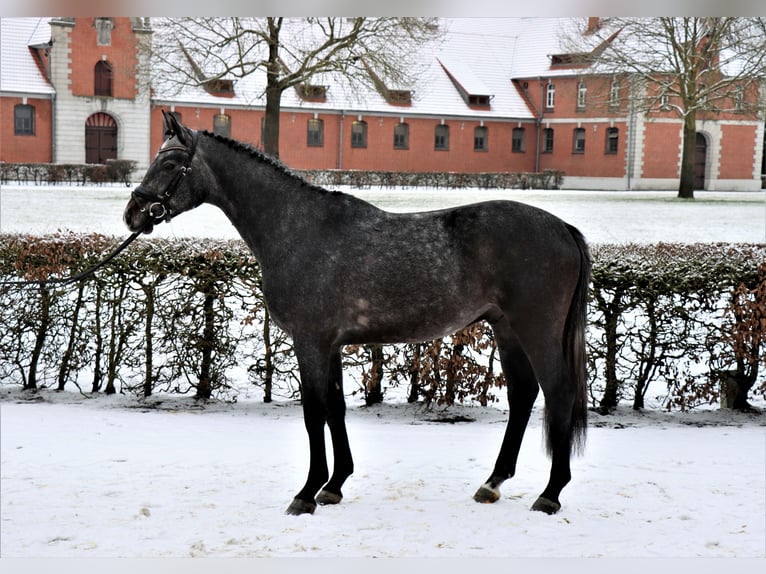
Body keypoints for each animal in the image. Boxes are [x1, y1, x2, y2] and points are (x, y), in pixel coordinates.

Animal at [126, 111, 592, 516]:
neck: (299, 229)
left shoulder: (310, 342)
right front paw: (334, 485)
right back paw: (492, 483)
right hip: (507, 329)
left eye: (170, 162)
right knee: (523, 395)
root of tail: (563, 228)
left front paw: (306, 493)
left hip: (536, 329)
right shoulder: (330, 345)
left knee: (558, 392)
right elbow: (335, 409)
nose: (133, 213)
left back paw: (550, 493)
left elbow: (314, 413)